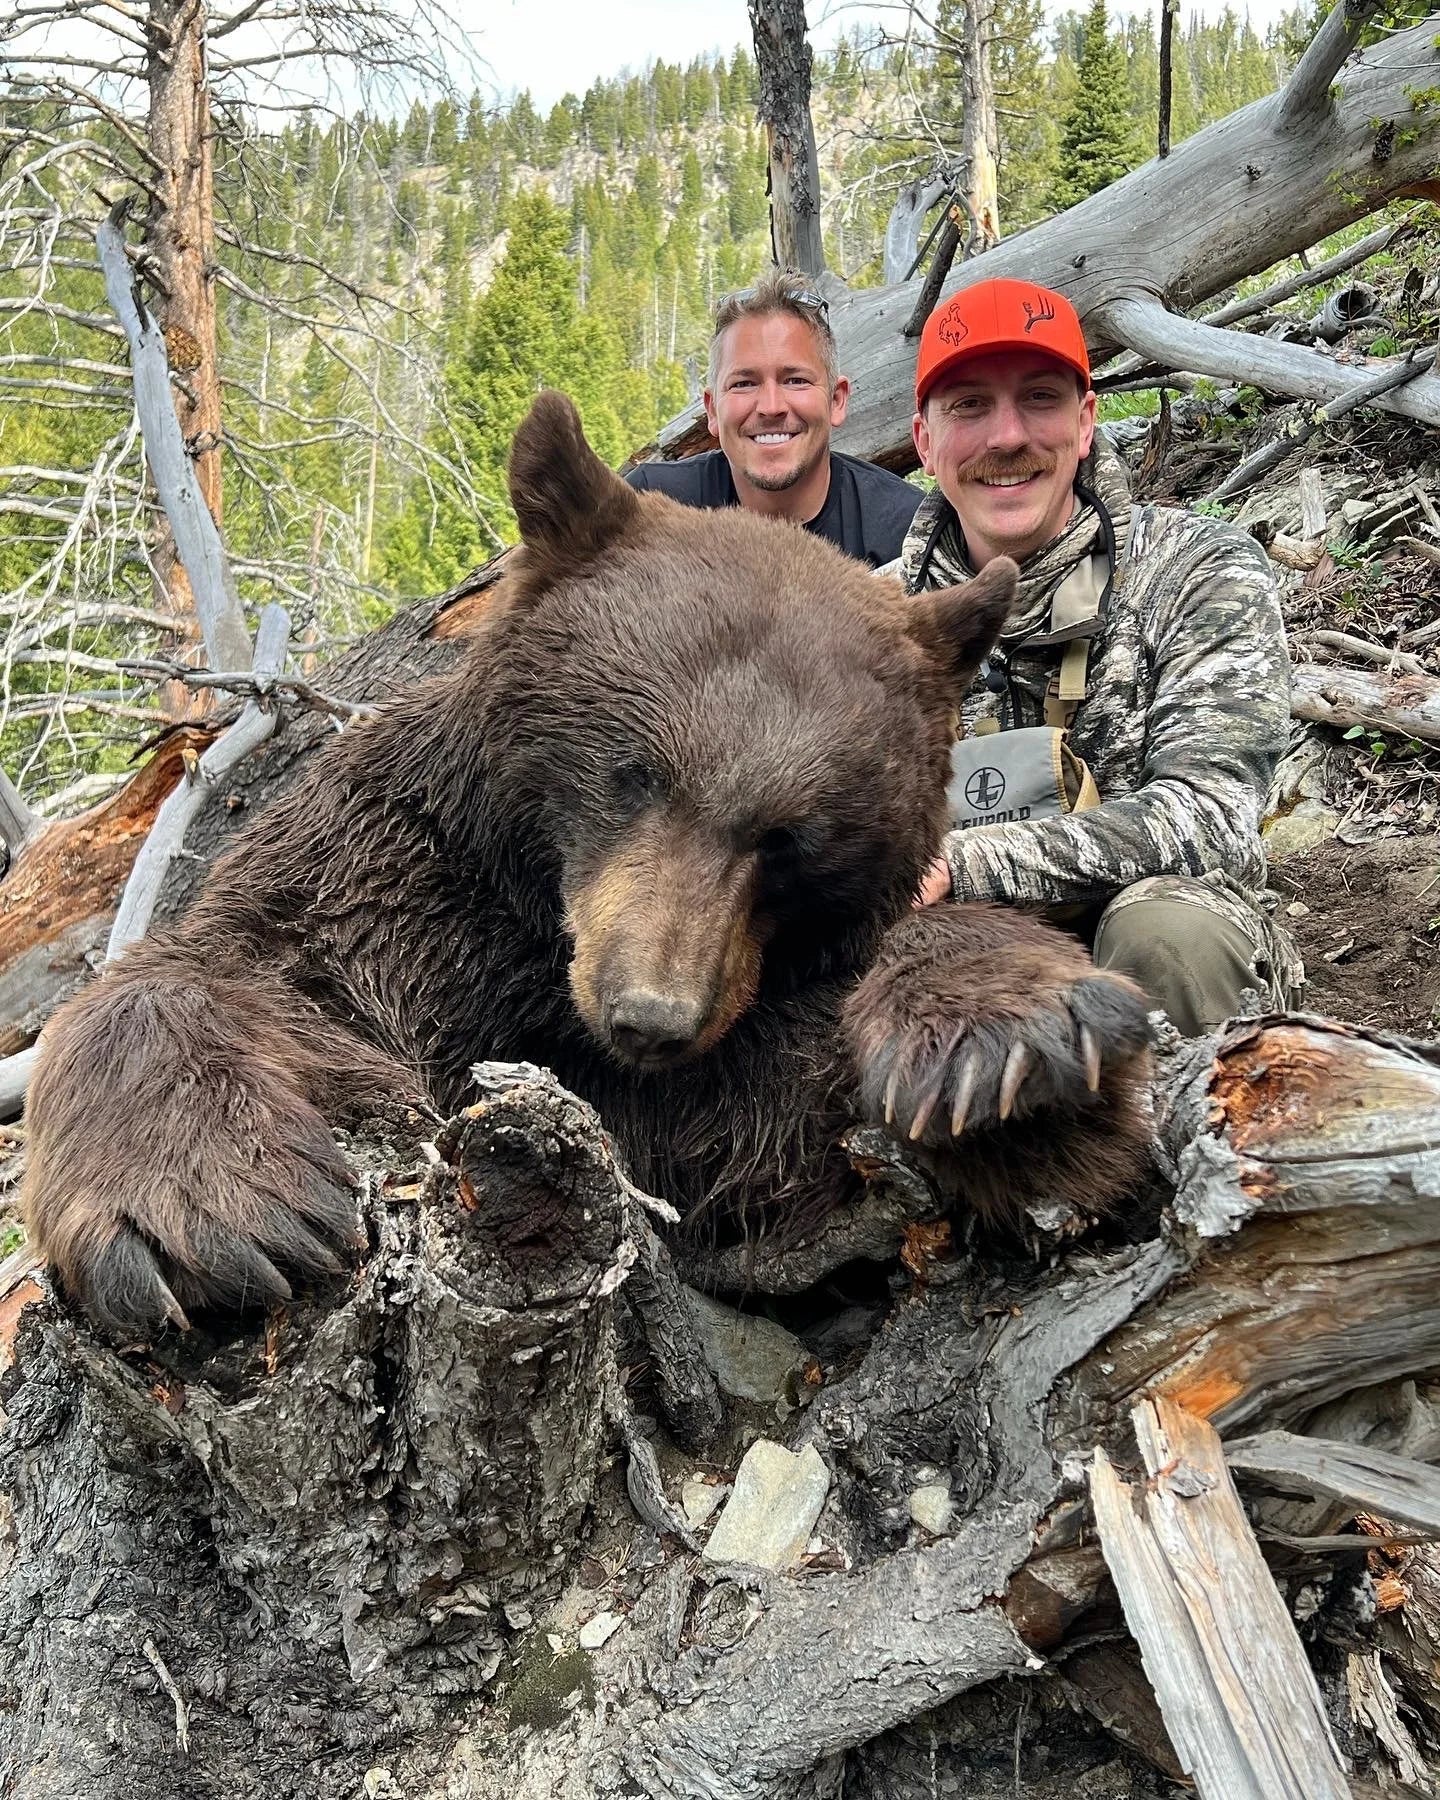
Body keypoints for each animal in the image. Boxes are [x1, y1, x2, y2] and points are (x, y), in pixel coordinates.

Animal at [22, 391, 1152, 1339]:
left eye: (791, 838)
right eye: (632, 773)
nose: (649, 1015)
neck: (538, 937)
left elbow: (759, 1124)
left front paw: (1012, 1055)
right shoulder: (400, 877)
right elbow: (224, 969)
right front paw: (211, 1211)